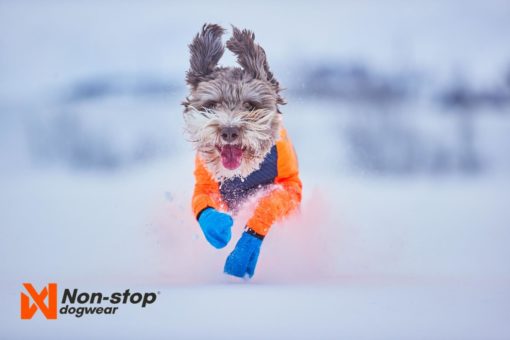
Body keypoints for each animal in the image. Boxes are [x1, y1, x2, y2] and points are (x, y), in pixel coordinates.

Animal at [183, 24, 302, 278]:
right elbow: (203, 204)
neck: (242, 174)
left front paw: (244, 253)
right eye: (212, 105)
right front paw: (219, 228)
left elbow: (270, 203)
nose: (229, 131)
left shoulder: (290, 185)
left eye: (249, 105)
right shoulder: (206, 182)